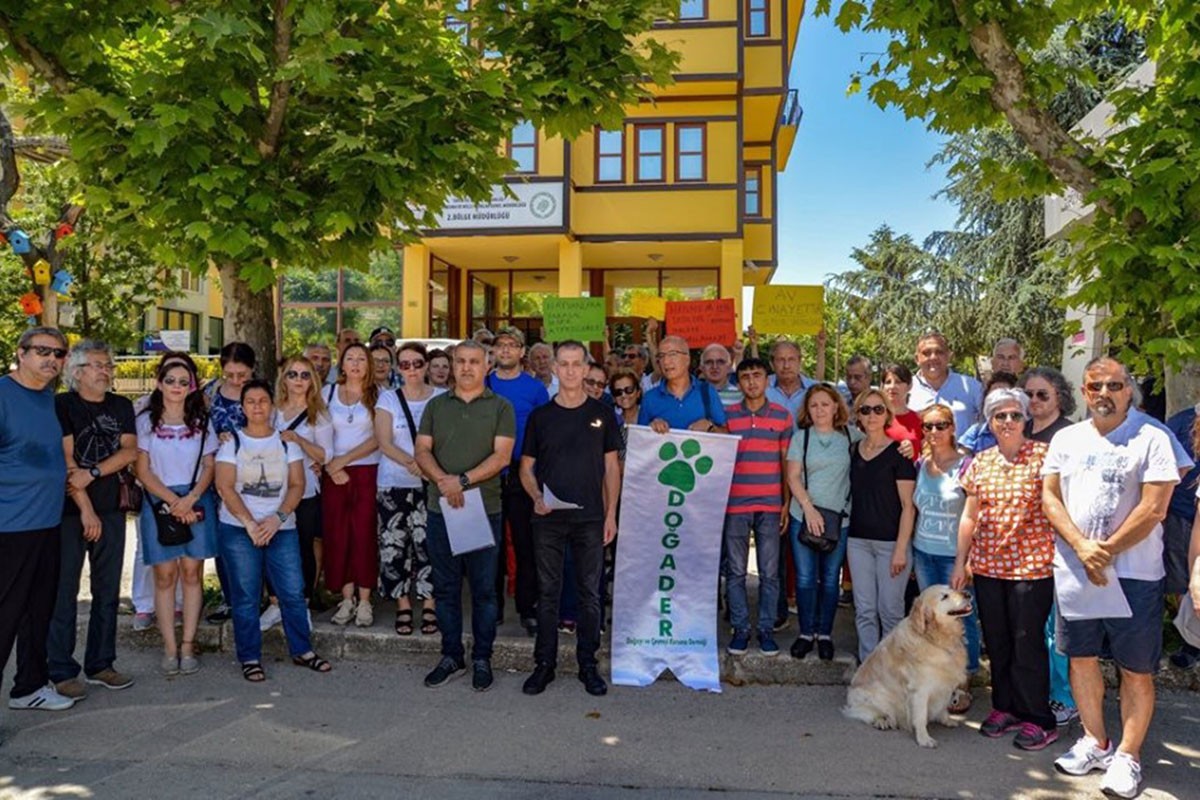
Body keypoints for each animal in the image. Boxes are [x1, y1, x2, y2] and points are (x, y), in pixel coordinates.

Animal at [844, 585, 974, 748]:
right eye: (944, 596)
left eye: (952, 588)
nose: (968, 594)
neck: (934, 638)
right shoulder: (920, 690)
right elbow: (920, 717)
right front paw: (924, 739)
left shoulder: (944, 684)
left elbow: (943, 706)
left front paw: (946, 719)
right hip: (876, 697)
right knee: (866, 712)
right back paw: (882, 721)